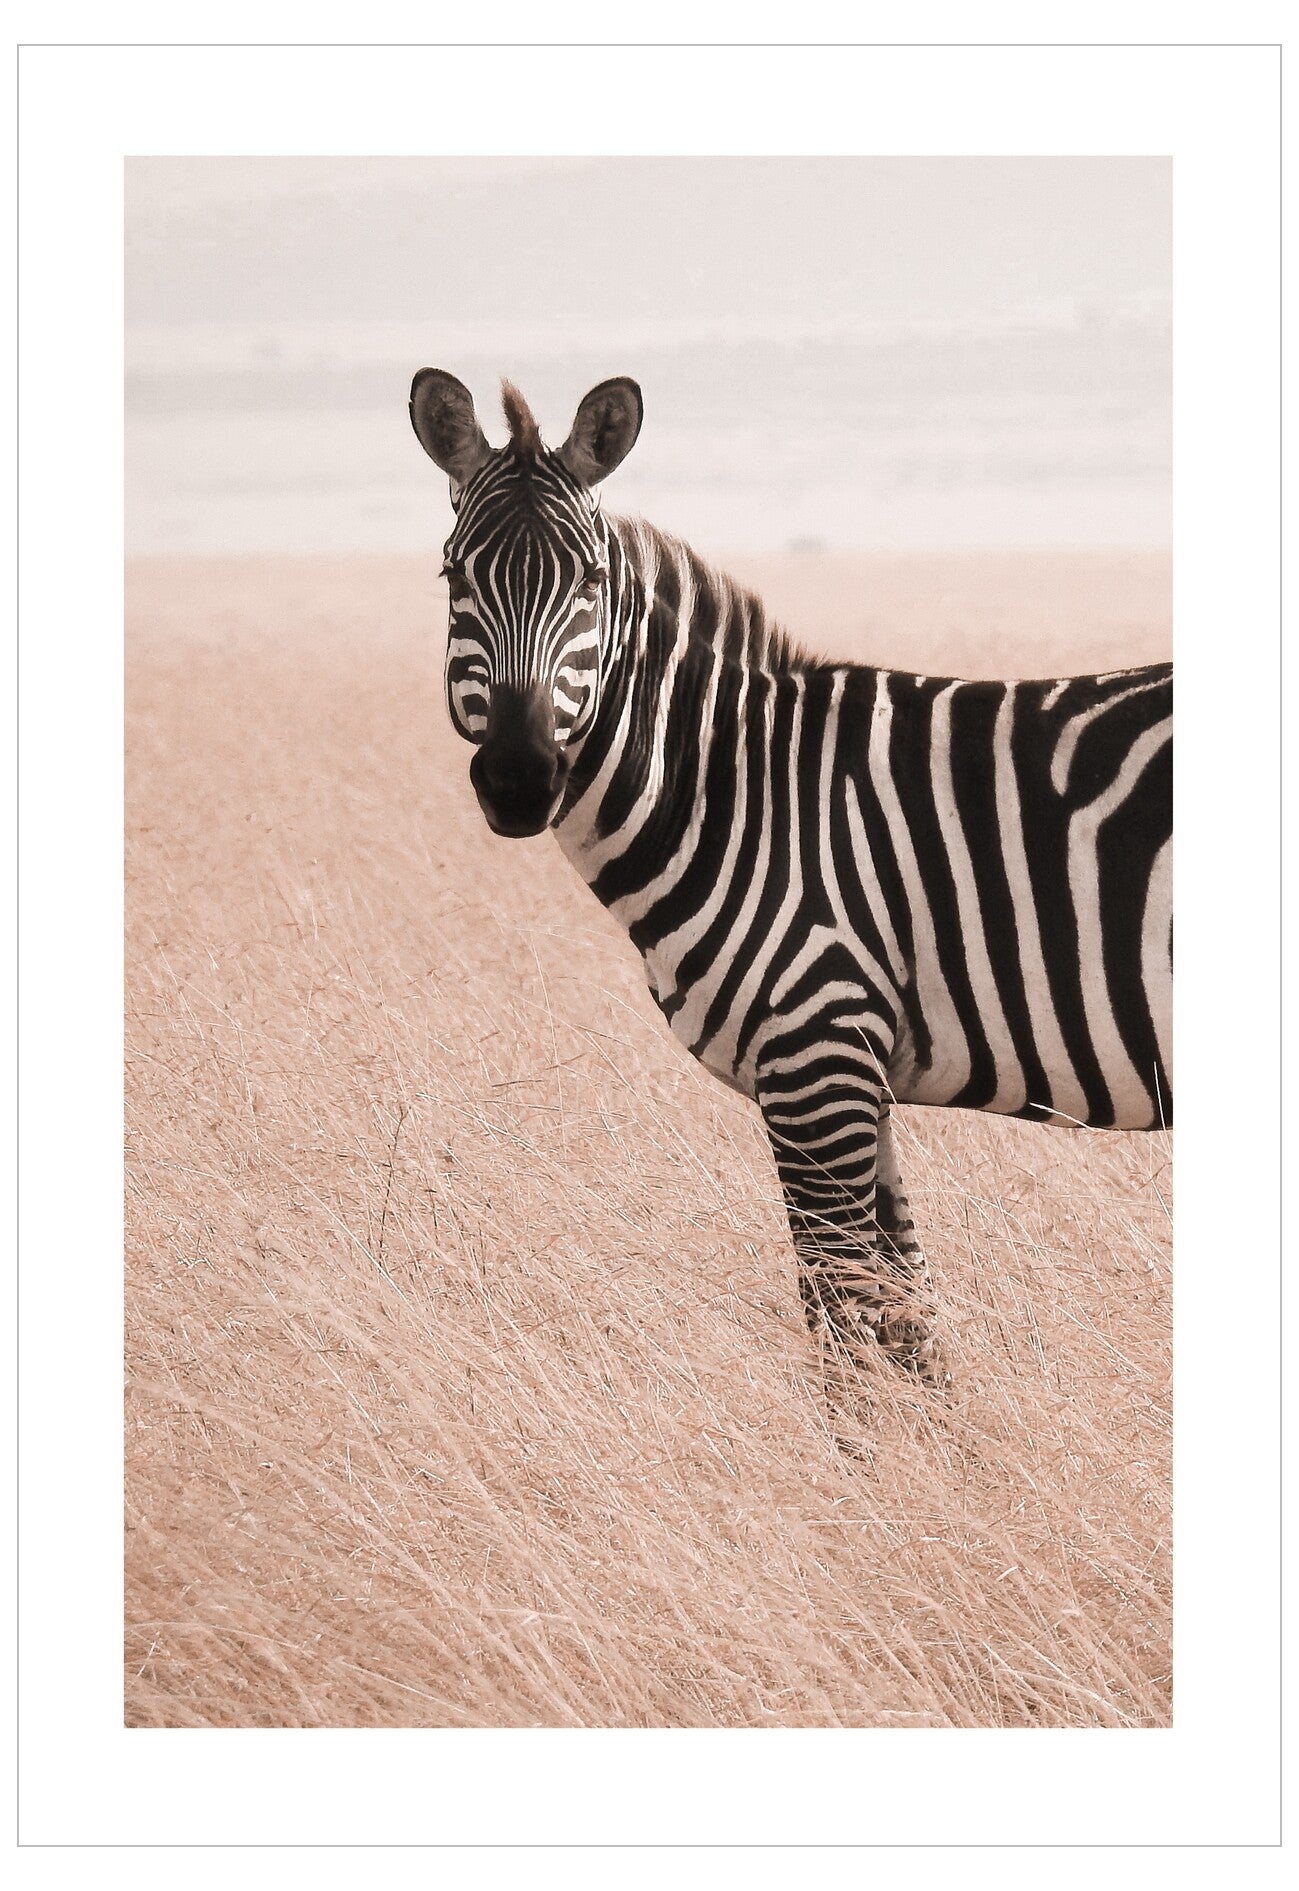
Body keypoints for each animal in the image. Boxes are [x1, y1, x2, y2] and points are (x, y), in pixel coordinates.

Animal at [409, 369, 1172, 1389]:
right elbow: (903, 1317)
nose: (519, 778)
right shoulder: (855, 1075)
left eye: (592, 581)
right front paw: (938, 1439)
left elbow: (839, 1321)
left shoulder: (818, 1053)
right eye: (453, 577)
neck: (738, 791)